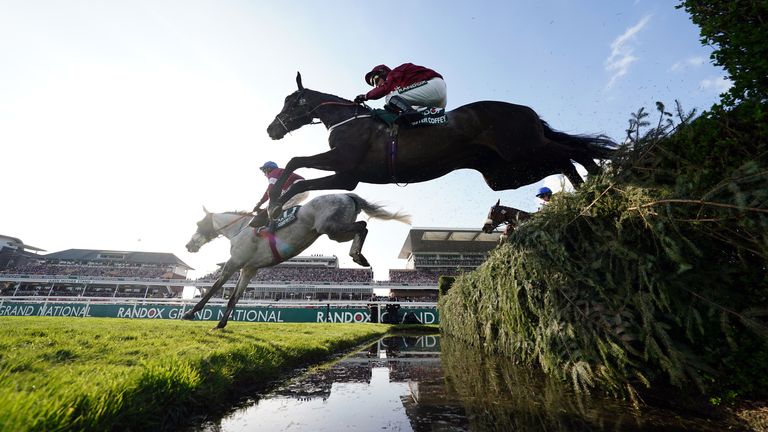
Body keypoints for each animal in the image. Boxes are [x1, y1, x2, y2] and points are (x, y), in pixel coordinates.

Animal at [183, 192, 412, 328]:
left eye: (198, 223)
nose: (189, 245)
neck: (240, 229)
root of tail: (346, 194)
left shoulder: (235, 263)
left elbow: (214, 287)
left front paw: (191, 313)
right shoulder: (248, 269)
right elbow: (233, 297)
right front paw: (220, 324)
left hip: (330, 227)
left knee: (363, 226)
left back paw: (357, 255)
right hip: (337, 231)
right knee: (362, 226)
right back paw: (359, 255)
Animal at [268, 72, 616, 218]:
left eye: (290, 102)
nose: (271, 129)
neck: (349, 119)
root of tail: (525, 110)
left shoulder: (344, 165)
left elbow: (295, 163)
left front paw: (271, 204)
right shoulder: (347, 175)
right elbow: (298, 176)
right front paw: (270, 209)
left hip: (523, 150)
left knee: (574, 153)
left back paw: (599, 186)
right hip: (506, 171)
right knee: (565, 159)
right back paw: (591, 190)